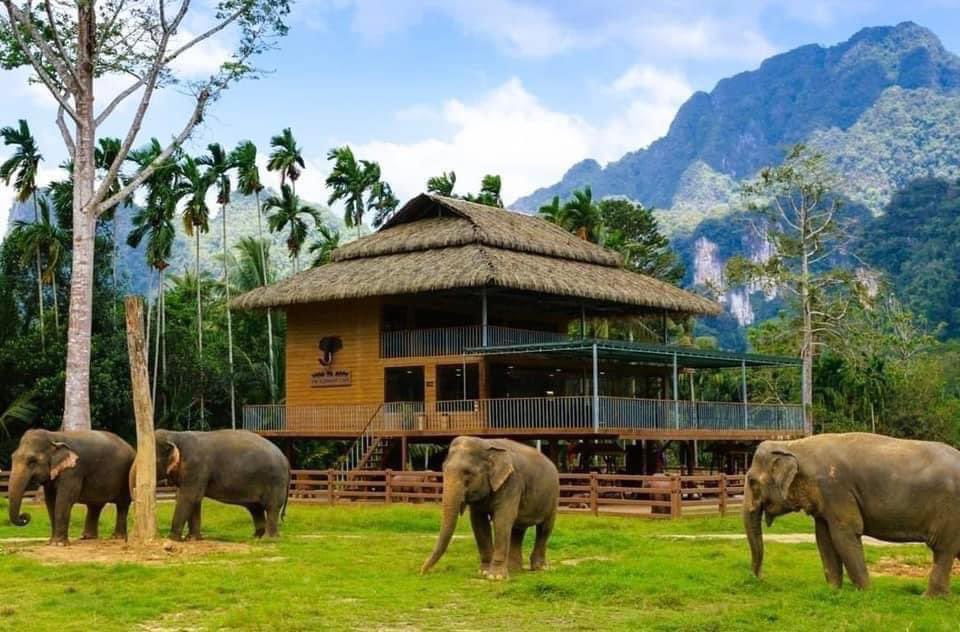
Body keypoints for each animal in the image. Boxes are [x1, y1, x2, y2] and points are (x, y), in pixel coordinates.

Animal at [152, 429, 290, 540]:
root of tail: (286, 460)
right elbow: (195, 499)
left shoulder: (196, 467)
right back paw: (256, 537)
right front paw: (192, 538)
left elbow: (189, 497)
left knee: (271, 507)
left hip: (275, 481)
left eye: (154, 462)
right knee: (256, 508)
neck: (176, 435)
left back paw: (268, 539)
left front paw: (172, 539)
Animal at [421, 436, 559, 580]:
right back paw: (513, 569)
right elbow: (478, 522)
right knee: (517, 530)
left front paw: (495, 577)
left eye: (467, 472)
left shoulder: (511, 482)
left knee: (544, 528)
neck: (486, 444)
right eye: (443, 469)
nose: (422, 572)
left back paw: (539, 568)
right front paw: (484, 572)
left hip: (553, 496)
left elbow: (502, 520)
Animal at [744, 432, 960, 596]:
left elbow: (844, 534)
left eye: (752, 482)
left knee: (943, 549)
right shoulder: (825, 500)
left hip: (951, 511)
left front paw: (866, 592)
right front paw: (833, 591)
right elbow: (823, 538)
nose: (762, 578)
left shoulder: (835, 489)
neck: (794, 445)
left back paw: (929, 598)